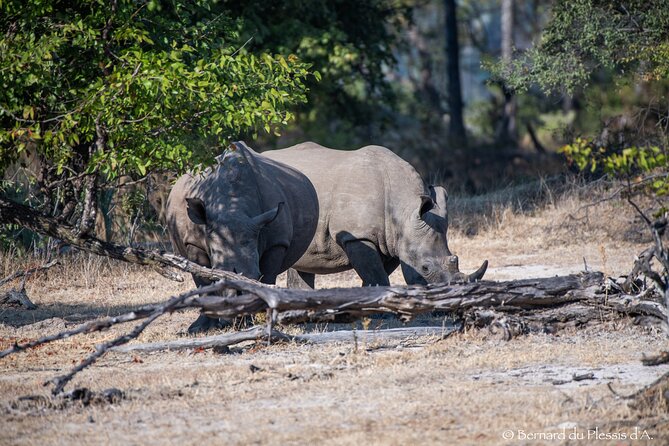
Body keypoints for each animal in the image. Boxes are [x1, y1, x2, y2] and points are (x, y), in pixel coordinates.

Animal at [164, 141, 316, 332]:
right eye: (217, 274)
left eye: (255, 275)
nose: (236, 317)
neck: (233, 208)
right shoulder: (194, 240)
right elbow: (202, 281)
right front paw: (200, 328)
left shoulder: (276, 242)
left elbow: (267, 279)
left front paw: (260, 319)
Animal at [264, 143, 488, 290]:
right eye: (425, 268)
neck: (404, 209)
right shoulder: (357, 235)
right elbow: (377, 275)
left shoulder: (392, 242)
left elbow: (377, 274)